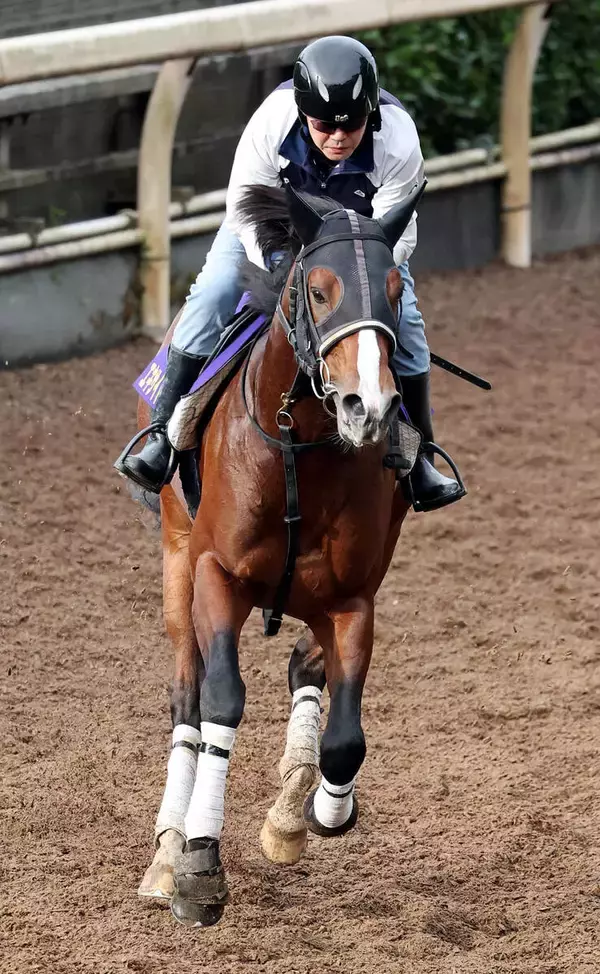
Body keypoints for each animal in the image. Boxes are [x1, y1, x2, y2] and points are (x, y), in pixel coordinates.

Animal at [133, 180, 425, 927]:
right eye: (318, 291)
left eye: (393, 290)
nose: (367, 405)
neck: (300, 447)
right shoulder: (214, 575)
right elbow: (220, 701)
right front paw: (198, 865)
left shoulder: (353, 600)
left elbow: (345, 738)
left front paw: (316, 813)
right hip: (177, 563)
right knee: (186, 699)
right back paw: (166, 854)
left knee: (305, 667)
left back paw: (290, 816)